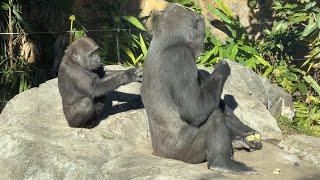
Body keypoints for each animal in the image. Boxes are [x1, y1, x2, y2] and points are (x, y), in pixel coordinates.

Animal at [141, 3, 262, 174]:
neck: (167, 41)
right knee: (212, 116)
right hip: (180, 154)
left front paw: (243, 131)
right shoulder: (181, 56)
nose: (203, 44)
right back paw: (222, 162)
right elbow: (195, 109)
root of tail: (158, 154)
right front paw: (222, 69)